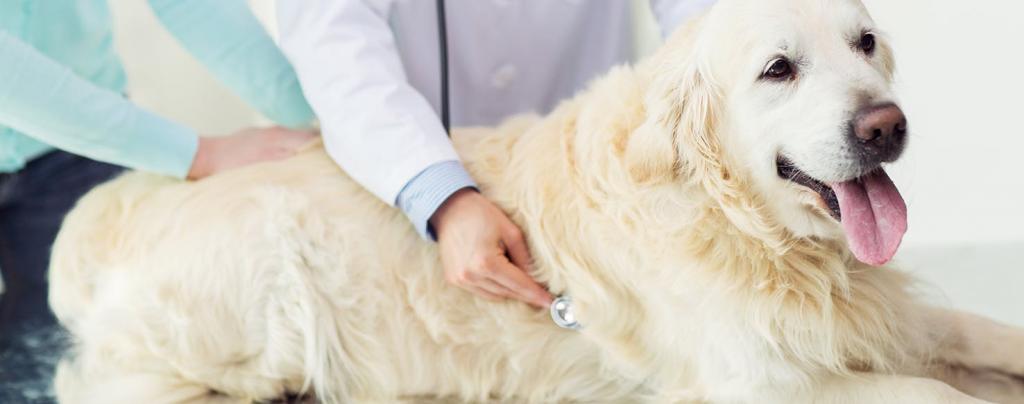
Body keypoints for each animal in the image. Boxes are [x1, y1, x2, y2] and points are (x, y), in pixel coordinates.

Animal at [44, 0, 1024, 402]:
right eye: (778, 69)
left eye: (867, 43)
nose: (885, 127)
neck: (732, 222)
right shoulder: (755, 382)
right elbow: (938, 392)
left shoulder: (879, 310)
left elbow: (986, 335)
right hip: (269, 278)